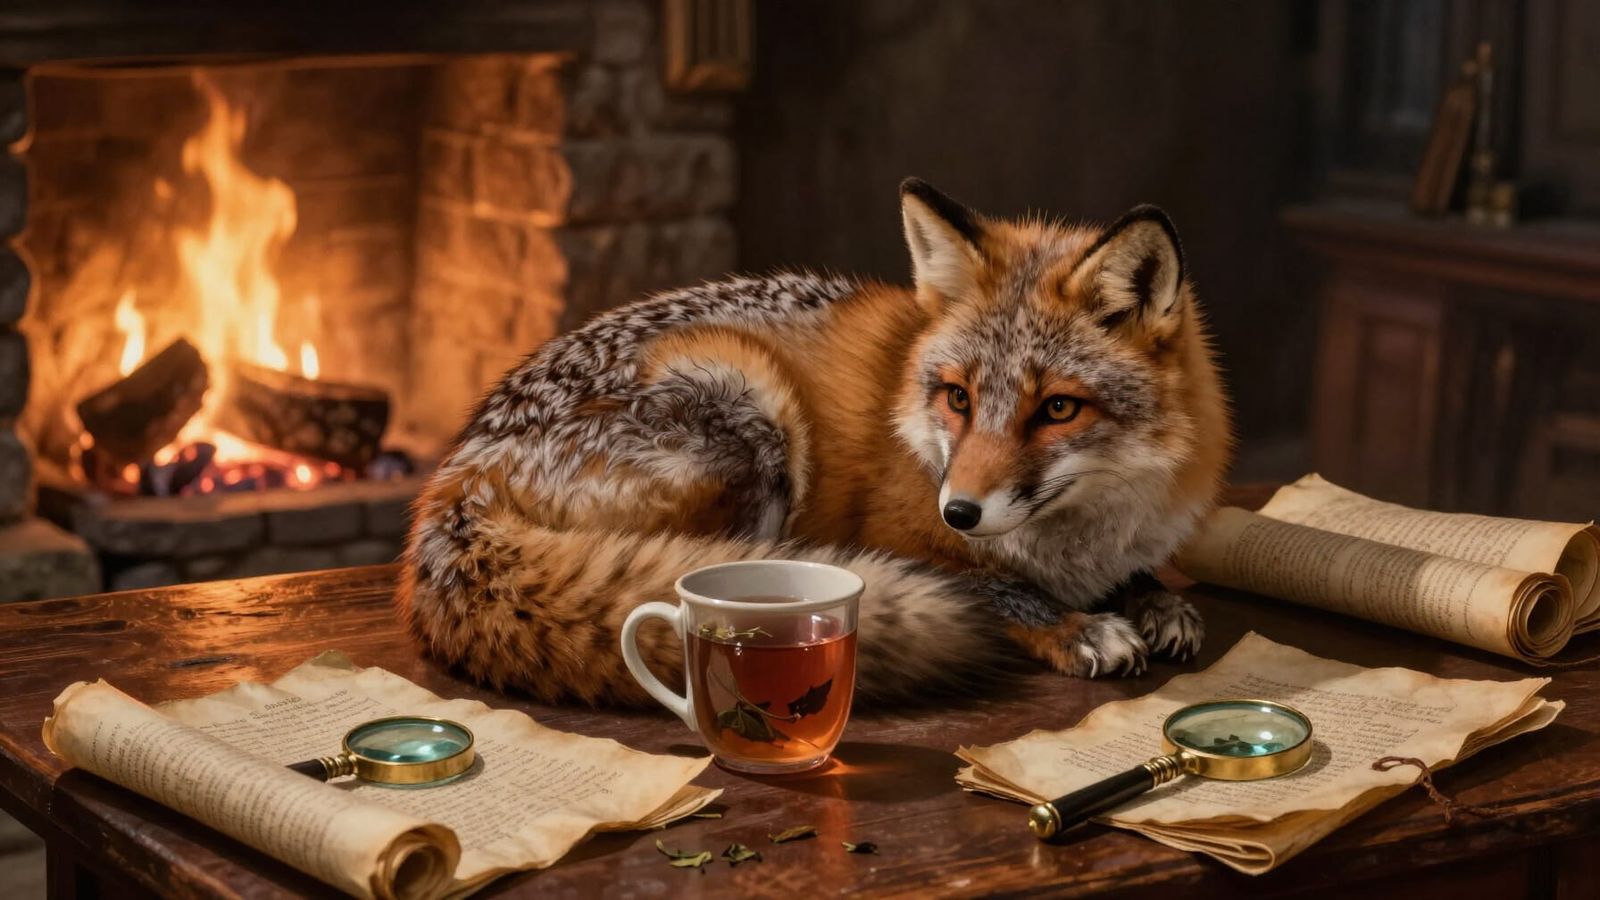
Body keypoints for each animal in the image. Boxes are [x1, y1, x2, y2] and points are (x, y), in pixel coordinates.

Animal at [398, 178, 1232, 706]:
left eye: (1058, 408)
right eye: (958, 398)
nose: (959, 512)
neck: (1080, 541)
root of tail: (455, 479)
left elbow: (1138, 578)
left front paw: (1155, 601)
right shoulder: (897, 537)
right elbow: (998, 590)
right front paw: (1076, 624)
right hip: (754, 416)